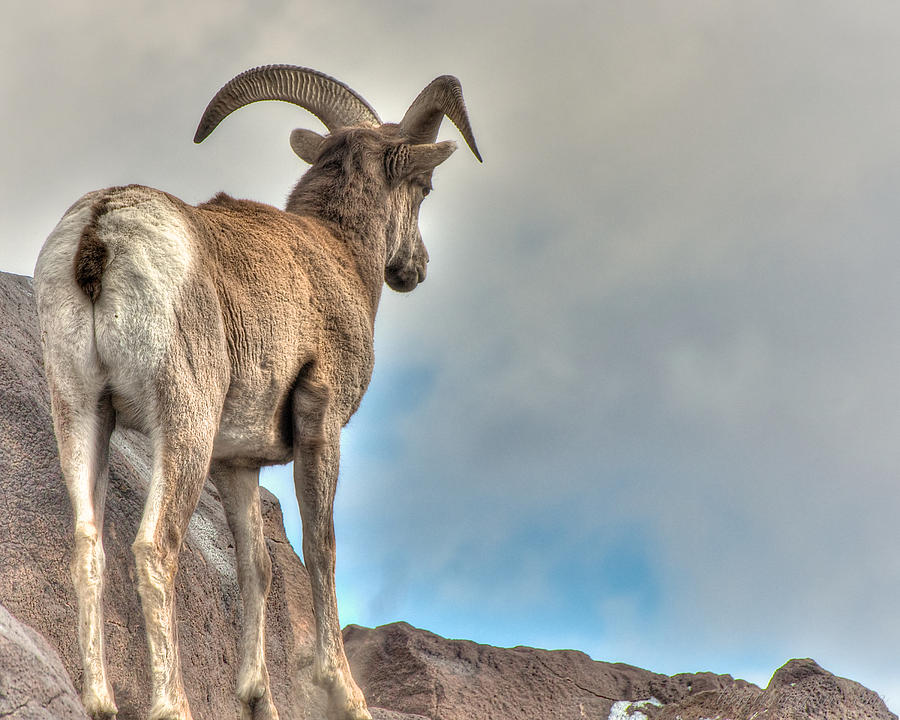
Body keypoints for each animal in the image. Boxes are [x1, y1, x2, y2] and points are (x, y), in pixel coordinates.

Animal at [34, 66, 482, 720]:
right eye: (423, 188)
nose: (414, 269)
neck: (337, 254)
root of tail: (101, 231)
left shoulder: (237, 462)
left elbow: (258, 567)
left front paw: (257, 698)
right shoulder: (320, 424)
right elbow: (321, 547)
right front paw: (345, 693)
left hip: (82, 412)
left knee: (88, 546)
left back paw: (100, 704)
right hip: (184, 425)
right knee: (154, 547)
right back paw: (172, 704)